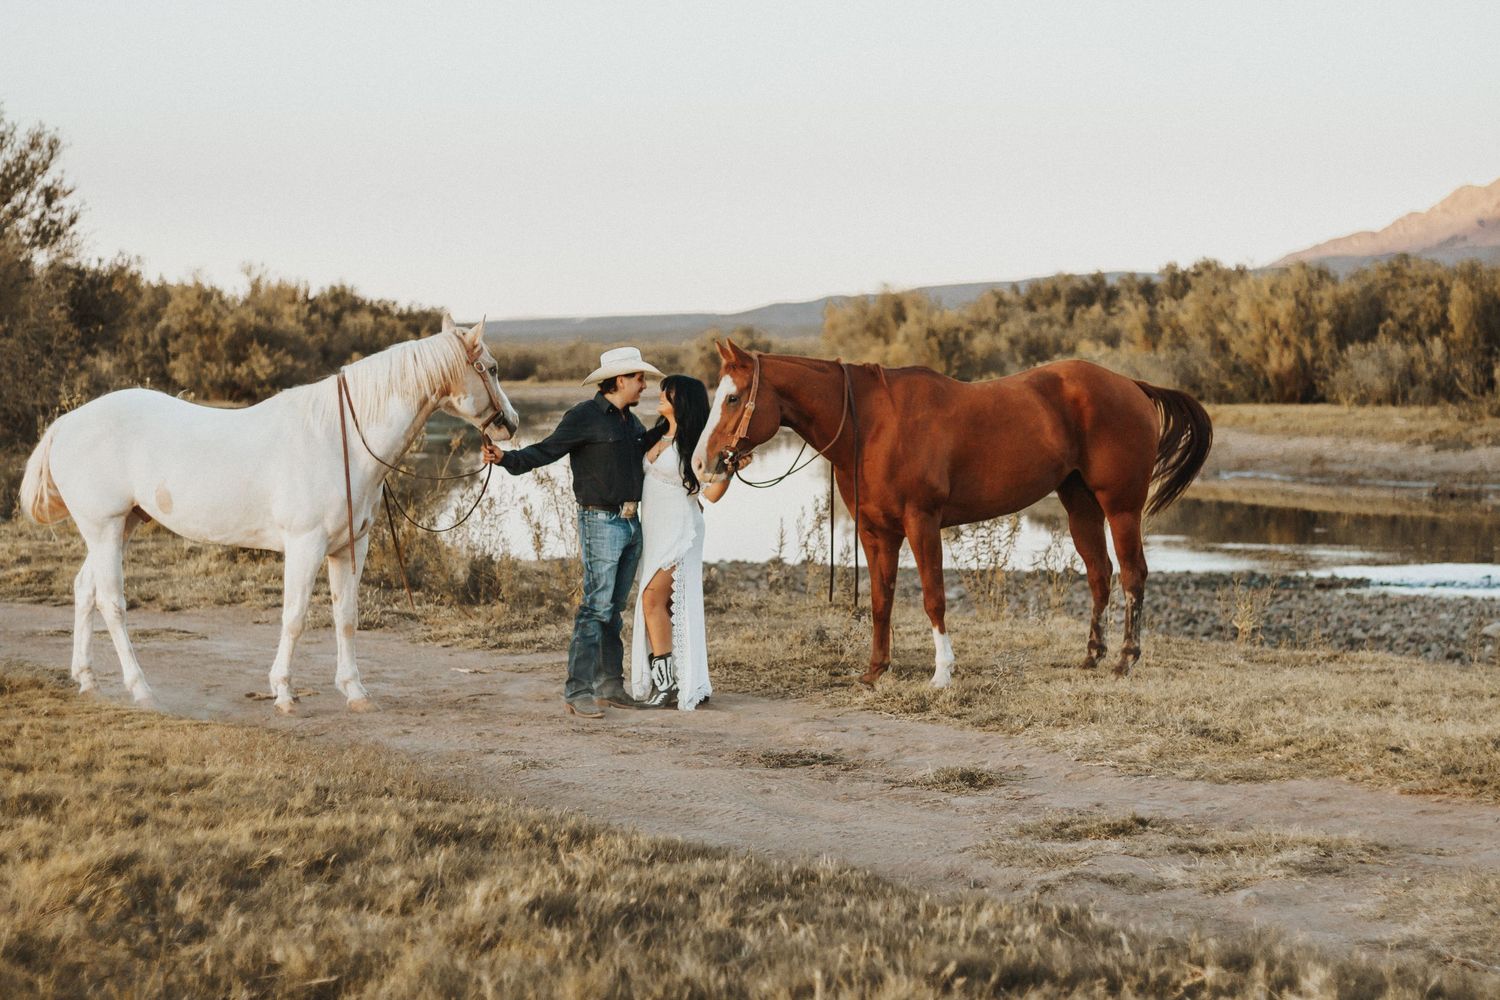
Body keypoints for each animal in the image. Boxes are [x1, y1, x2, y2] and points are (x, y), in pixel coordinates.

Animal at [18, 314, 519, 714]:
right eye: (492, 369)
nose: (511, 424)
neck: (339, 440)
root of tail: (66, 424)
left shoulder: (348, 548)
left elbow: (346, 616)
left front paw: (355, 692)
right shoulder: (304, 546)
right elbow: (295, 617)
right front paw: (283, 693)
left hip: (122, 526)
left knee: (84, 590)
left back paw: (87, 681)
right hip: (103, 528)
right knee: (111, 603)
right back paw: (140, 690)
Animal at [693, 341, 1212, 687]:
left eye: (733, 397)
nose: (701, 463)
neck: (874, 424)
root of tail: (1132, 385)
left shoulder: (921, 524)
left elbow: (933, 598)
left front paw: (942, 672)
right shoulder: (876, 532)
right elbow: (881, 601)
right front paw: (875, 670)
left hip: (1121, 507)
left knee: (1133, 575)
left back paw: (1126, 658)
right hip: (1079, 503)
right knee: (1100, 575)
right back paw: (1092, 656)